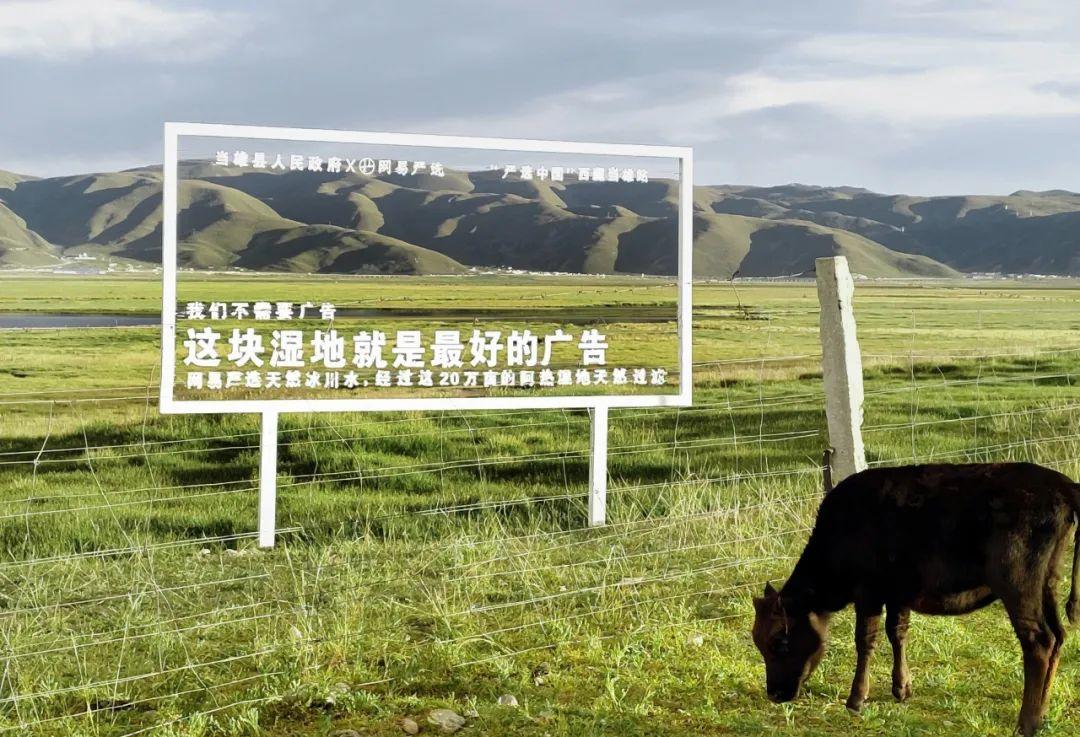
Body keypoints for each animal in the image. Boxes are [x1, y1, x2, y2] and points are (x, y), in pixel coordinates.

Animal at [751, 462, 1080, 730]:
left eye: (779, 642)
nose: (774, 693)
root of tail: (1064, 485)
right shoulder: (899, 594)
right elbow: (897, 632)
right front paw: (902, 688)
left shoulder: (868, 593)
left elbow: (865, 640)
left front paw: (856, 699)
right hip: (1048, 584)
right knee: (1058, 637)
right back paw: (1042, 714)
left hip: (1019, 587)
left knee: (1039, 642)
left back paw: (1026, 722)